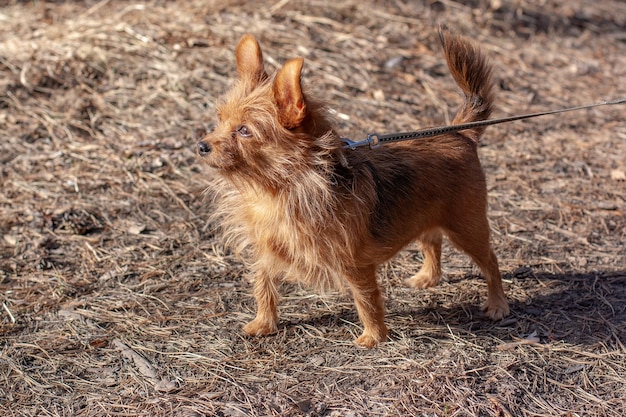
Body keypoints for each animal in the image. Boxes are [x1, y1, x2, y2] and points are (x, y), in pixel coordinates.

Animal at [197, 30, 510, 346]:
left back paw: (497, 304)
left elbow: (366, 299)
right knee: (432, 241)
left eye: (244, 131)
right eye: (220, 120)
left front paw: (373, 336)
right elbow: (263, 285)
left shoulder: (354, 262)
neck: (279, 189)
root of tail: (460, 134)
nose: (201, 146)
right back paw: (428, 277)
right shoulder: (265, 249)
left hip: (467, 228)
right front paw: (263, 322)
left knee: (491, 261)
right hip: (423, 215)